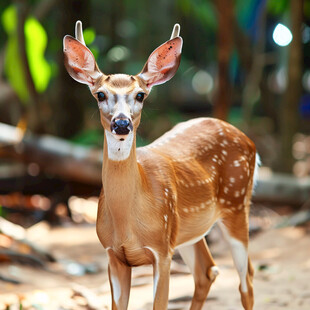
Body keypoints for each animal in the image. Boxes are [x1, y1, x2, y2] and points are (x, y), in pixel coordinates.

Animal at [63, 21, 256, 310]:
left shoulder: (162, 250)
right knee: (207, 271)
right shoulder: (113, 255)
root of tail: (248, 140)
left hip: (236, 203)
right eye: (100, 95)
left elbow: (160, 304)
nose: (122, 123)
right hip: (189, 230)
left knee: (247, 280)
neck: (127, 224)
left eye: (141, 95)